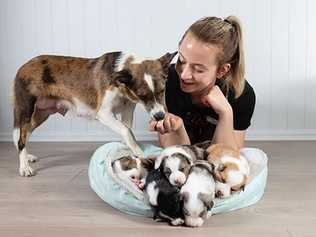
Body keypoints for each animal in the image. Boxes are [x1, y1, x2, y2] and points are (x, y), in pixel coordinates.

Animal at [12, 52, 177, 178]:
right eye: (143, 96)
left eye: (162, 91)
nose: (160, 116)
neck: (120, 81)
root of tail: (23, 66)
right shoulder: (104, 113)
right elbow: (126, 131)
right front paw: (138, 152)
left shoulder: (127, 110)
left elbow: (128, 131)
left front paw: (127, 149)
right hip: (26, 110)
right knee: (21, 138)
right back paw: (24, 167)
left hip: (41, 114)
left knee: (22, 135)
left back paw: (27, 157)